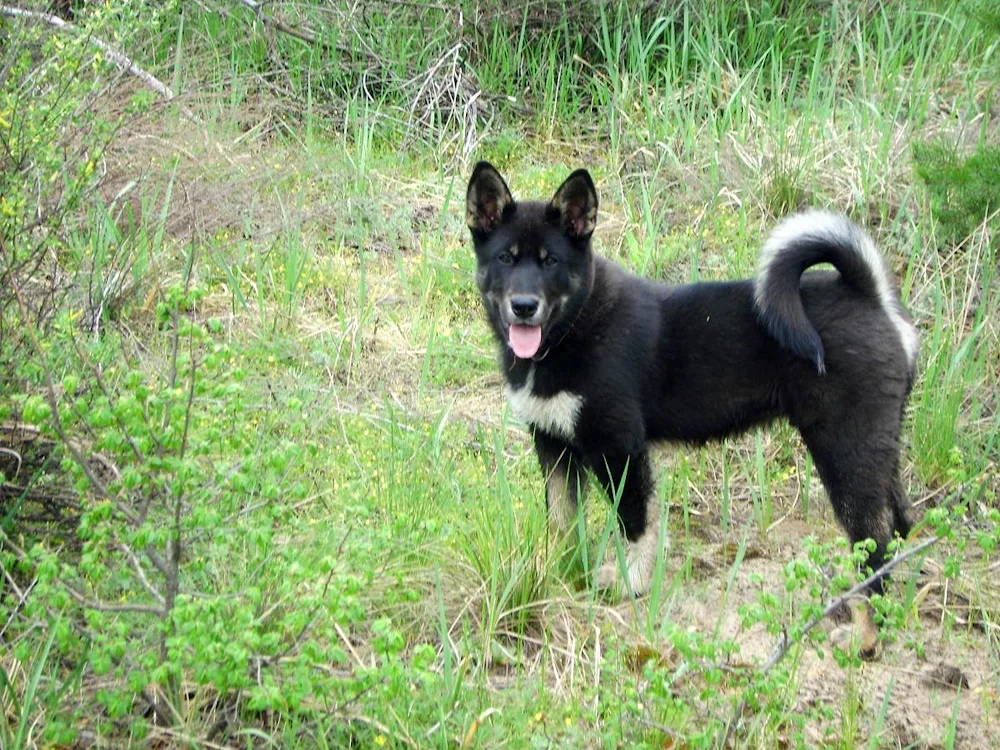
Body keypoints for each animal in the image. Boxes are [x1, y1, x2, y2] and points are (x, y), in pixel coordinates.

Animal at [464, 162, 916, 656]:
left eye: (551, 262)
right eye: (505, 258)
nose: (524, 307)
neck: (573, 327)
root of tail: (869, 296)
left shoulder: (619, 448)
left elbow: (636, 524)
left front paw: (631, 582)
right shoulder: (553, 445)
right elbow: (562, 525)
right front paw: (558, 576)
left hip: (845, 453)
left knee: (872, 547)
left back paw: (865, 637)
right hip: (876, 451)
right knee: (899, 526)